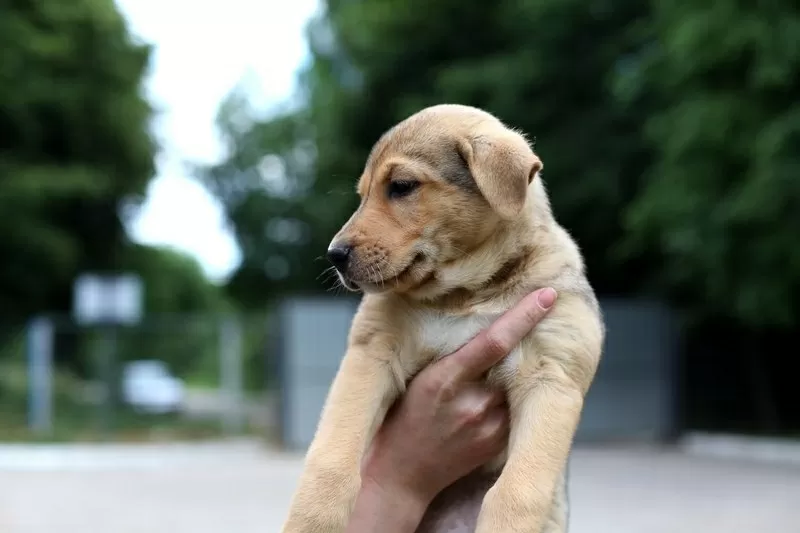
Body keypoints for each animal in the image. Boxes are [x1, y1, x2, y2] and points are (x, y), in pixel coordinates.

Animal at [284, 104, 604, 532]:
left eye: (401, 186)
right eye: (363, 194)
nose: (334, 255)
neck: (466, 294)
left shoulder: (552, 375)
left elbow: (516, 490)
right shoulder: (372, 353)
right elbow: (332, 455)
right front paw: (312, 519)